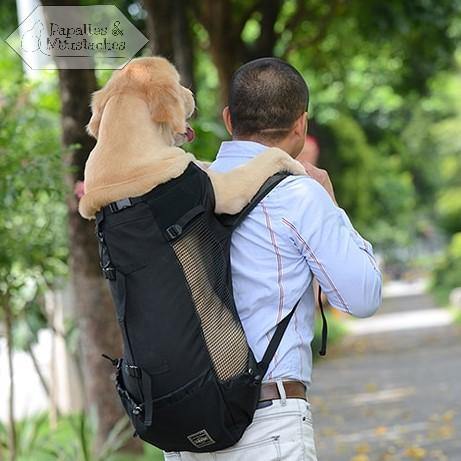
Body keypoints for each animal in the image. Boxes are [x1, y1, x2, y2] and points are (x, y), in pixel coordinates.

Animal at [78, 56, 306, 219]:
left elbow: (202, 162)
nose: (190, 92)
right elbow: (267, 157)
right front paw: (295, 164)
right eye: (178, 84)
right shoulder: (227, 190)